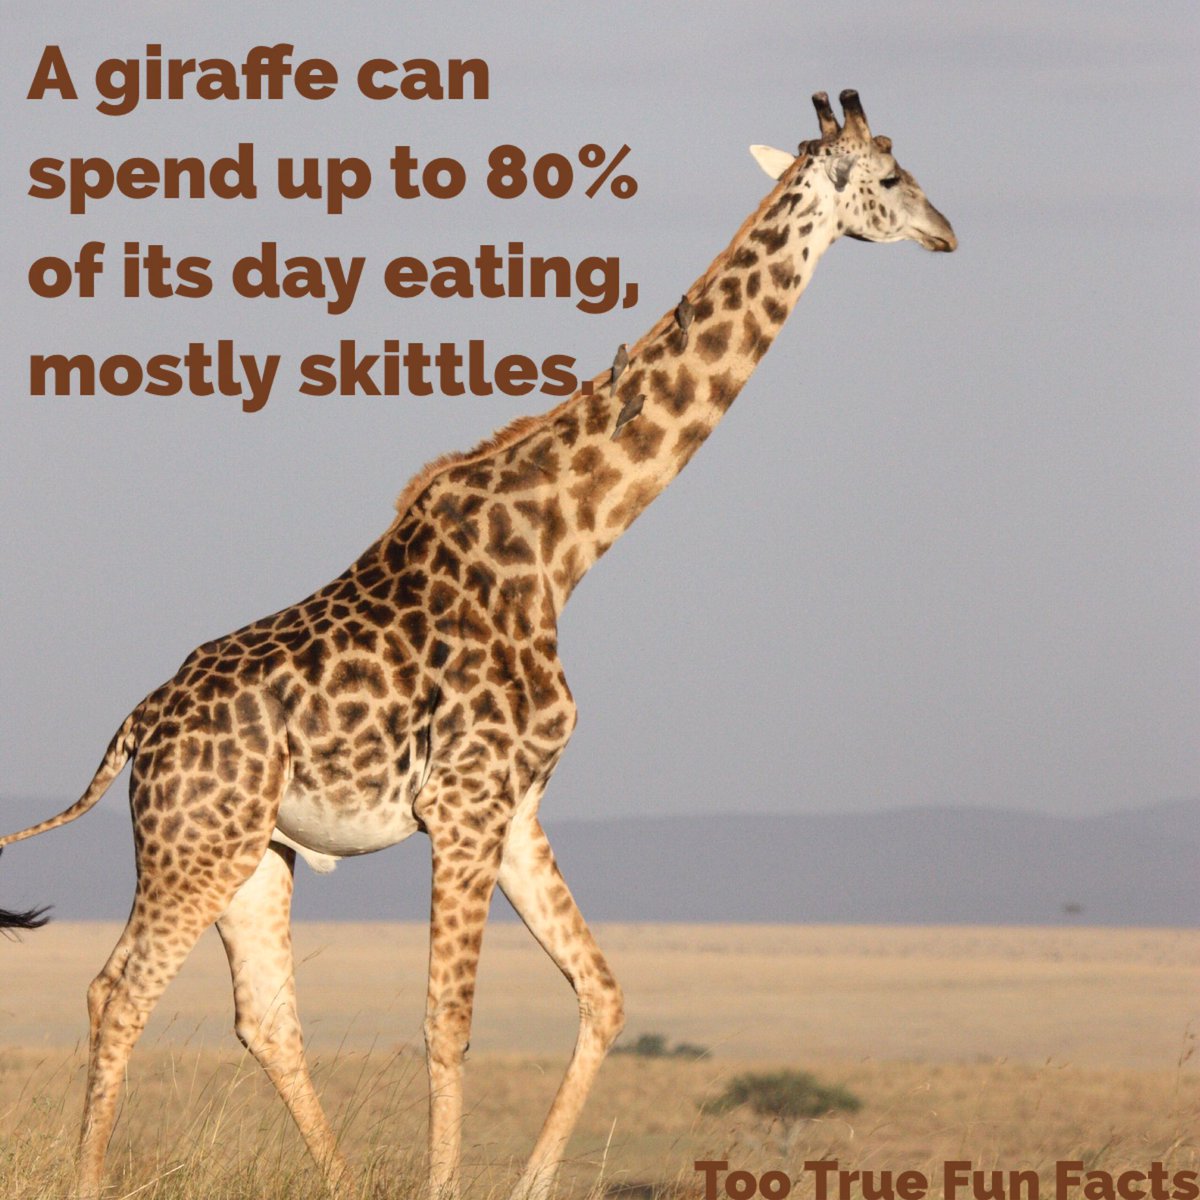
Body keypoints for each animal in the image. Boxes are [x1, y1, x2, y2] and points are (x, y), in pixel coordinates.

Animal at [0, 91, 955, 1200]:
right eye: (889, 178)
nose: (946, 232)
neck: (562, 547)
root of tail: (137, 728)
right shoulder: (462, 805)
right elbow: (447, 1023)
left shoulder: (518, 804)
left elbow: (604, 995)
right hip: (195, 842)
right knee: (118, 992)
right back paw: (88, 1181)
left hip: (255, 853)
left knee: (262, 1016)